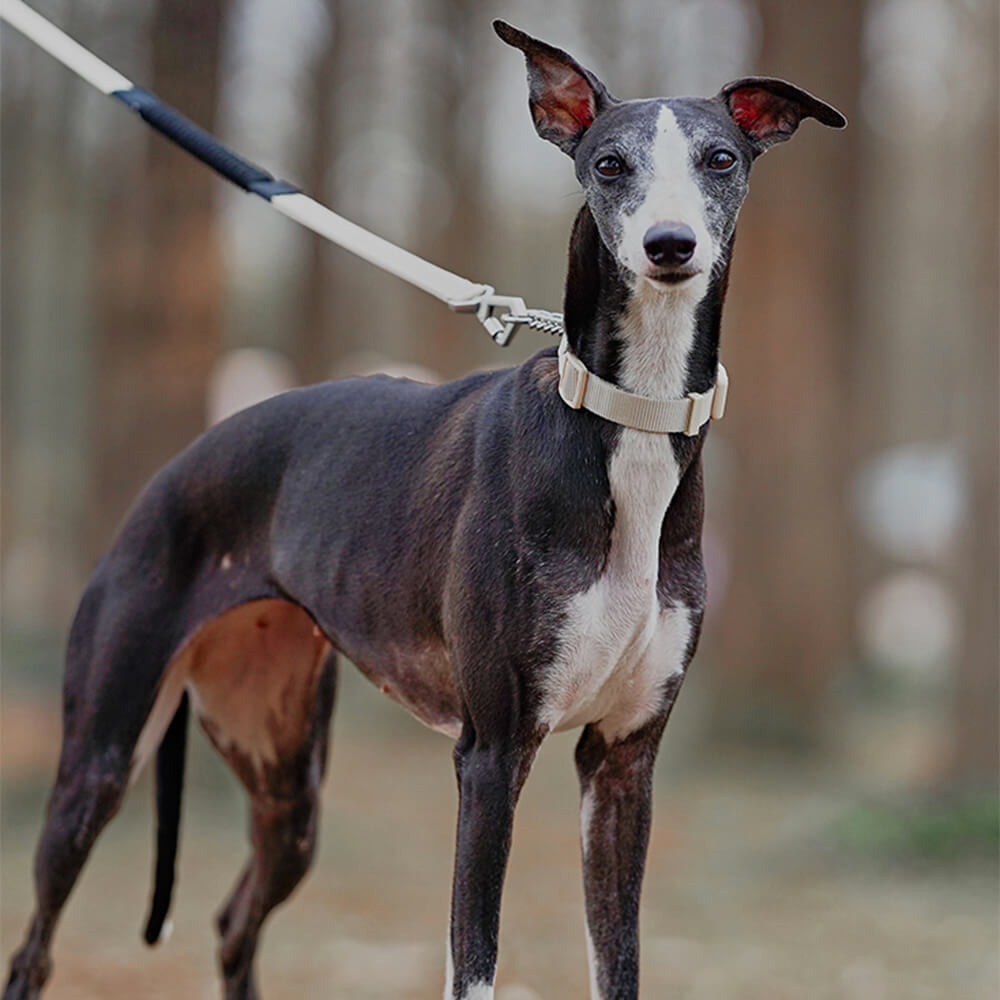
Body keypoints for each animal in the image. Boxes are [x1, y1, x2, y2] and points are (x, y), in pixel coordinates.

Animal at [3, 19, 848, 1000]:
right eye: (608, 165)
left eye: (720, 159)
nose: (669, 246)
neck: (623, 420)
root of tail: (173, 470)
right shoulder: (491, 754)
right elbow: (472, 963)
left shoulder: (623, 762)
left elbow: (619, 966)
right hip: (101, 756)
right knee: (36, 946)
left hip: (288, 783)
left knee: (232, 921)